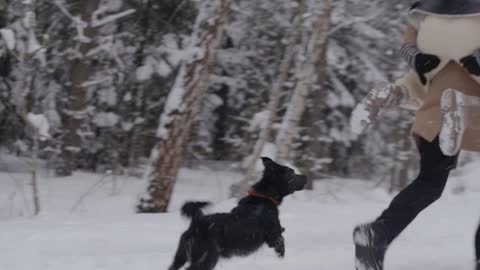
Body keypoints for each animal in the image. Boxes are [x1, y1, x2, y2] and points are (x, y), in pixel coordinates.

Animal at [167, 157, 306, 268]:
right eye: (292, 173)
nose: (306, 176)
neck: (264, 197)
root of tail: (197, 223)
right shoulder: (274, 237)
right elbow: (281, 245)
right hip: (207, 259)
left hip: (179, 258)